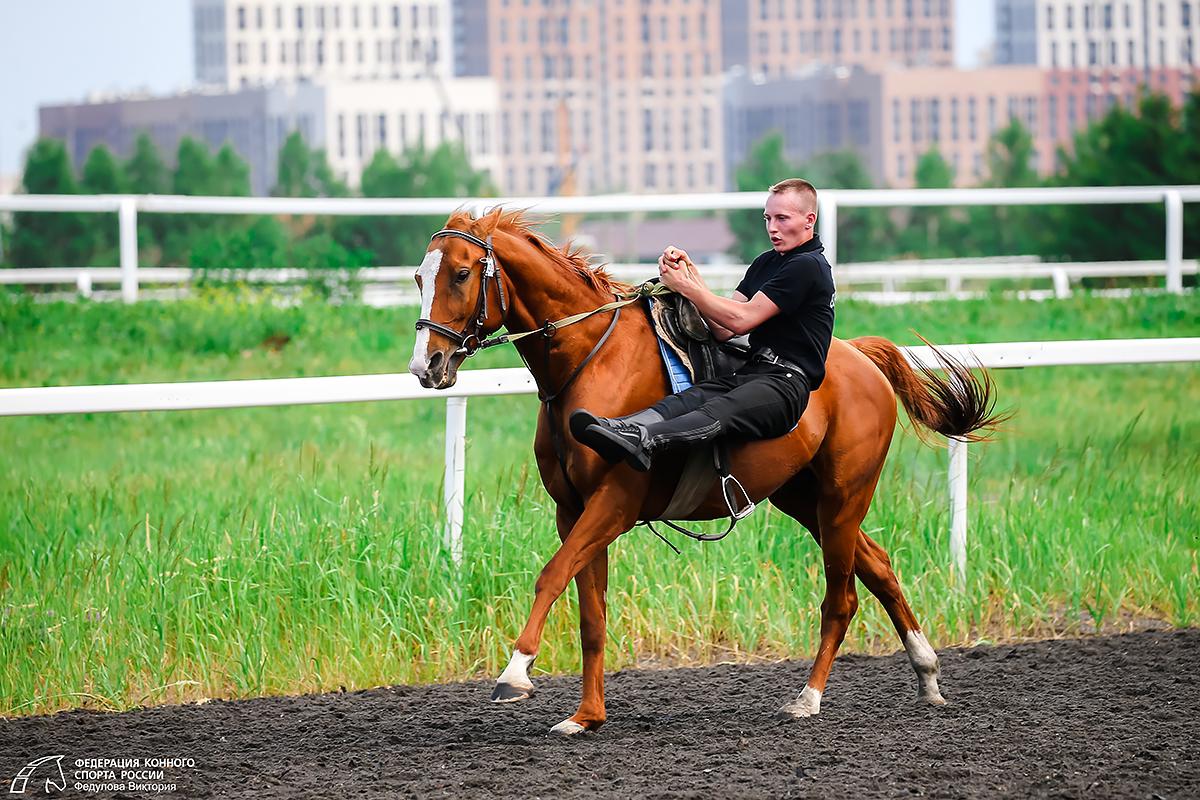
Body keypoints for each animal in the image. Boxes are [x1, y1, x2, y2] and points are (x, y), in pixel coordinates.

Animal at [412, 208, 1003, 738]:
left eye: (461, 273)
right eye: (419, 277)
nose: (427, 366)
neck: (591, 361)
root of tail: (860, 356)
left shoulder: (613, 504)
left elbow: (552, 575)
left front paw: (515, 671)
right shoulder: (573, 511)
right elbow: (591, 616)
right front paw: (586, 716)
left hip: (842, 496)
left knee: (842, 598)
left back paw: (808, 698)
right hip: (804, 499)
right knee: (878, 566)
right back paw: (927, 674)